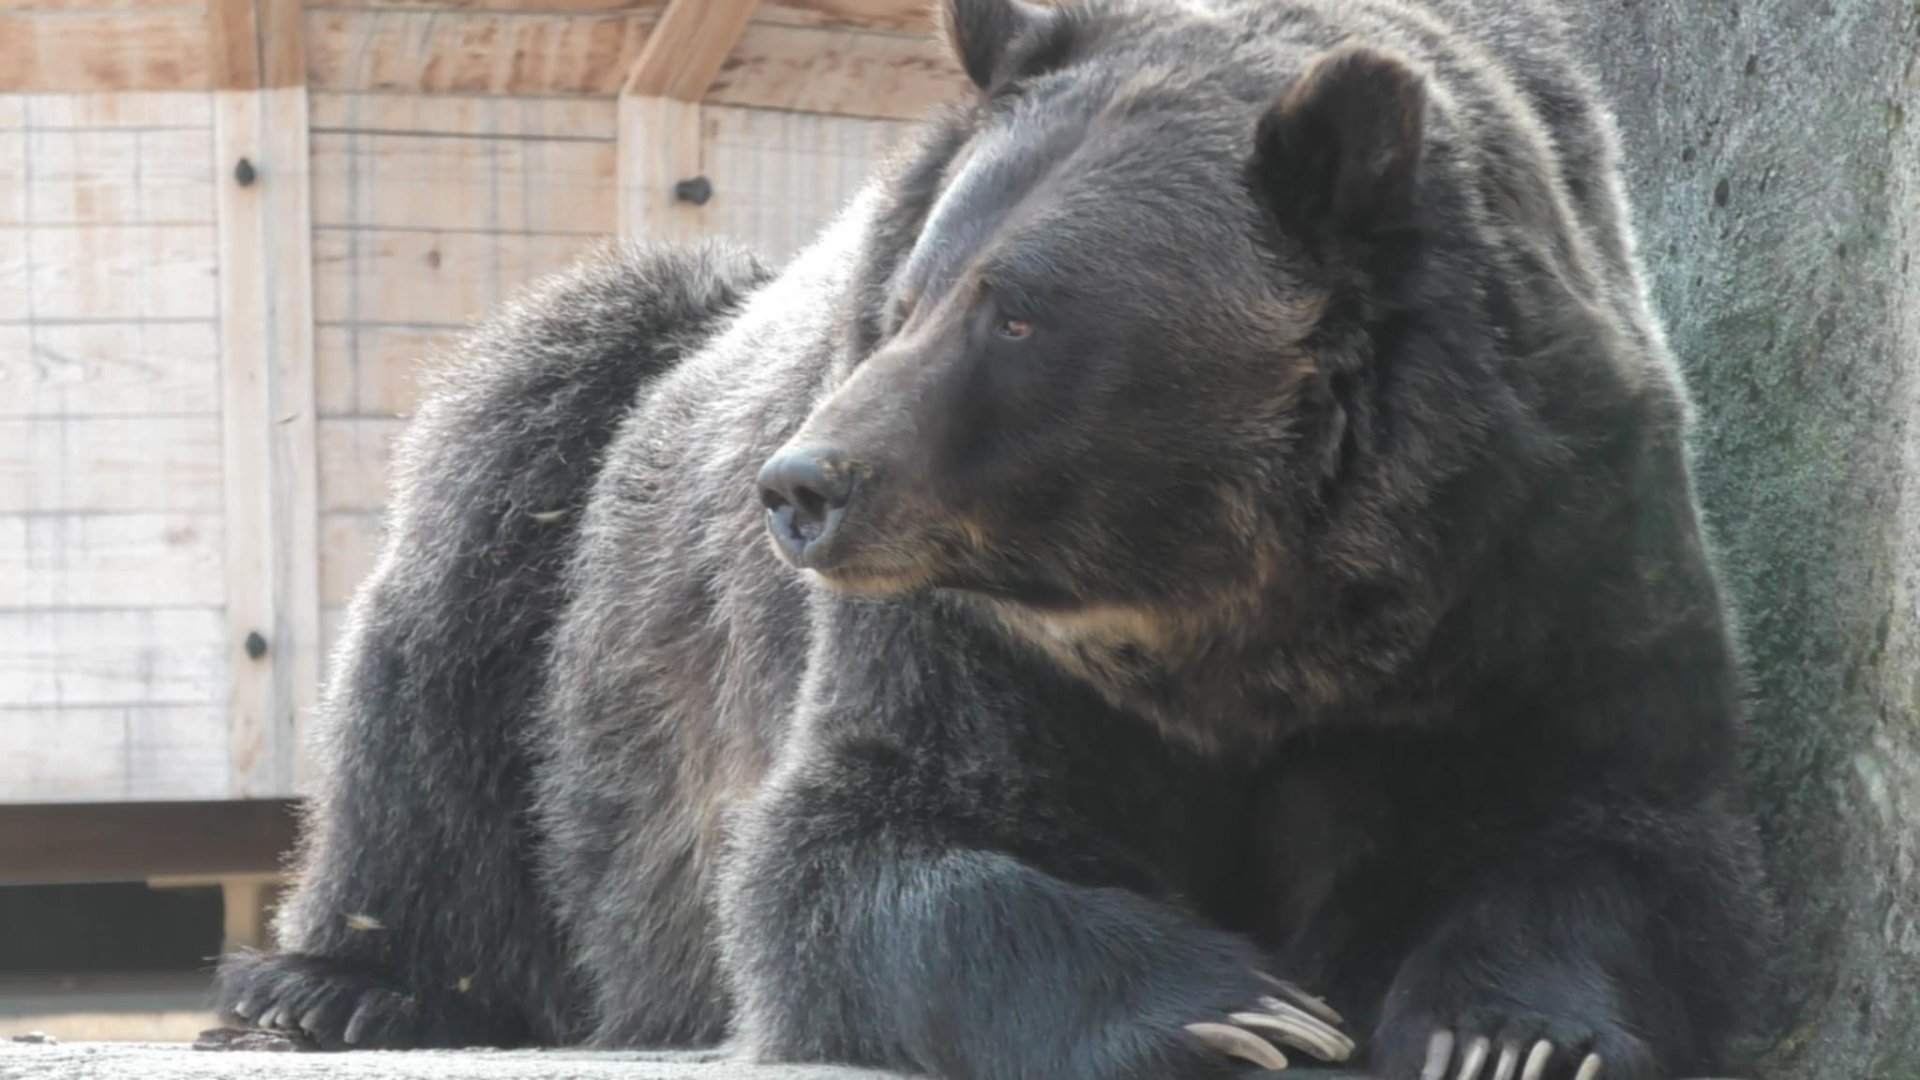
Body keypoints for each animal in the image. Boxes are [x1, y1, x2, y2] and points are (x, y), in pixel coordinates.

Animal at [215, 0, 1779, 1077]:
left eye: (1016, 310)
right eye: (910, 293)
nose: (804, 486)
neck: (1251, 603)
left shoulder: (1533, 571)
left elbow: (1612, 830)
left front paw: (1506, 1031)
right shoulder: (962, 642)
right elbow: (862, 845)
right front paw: (1237, 1010)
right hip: (596, 488)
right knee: (451, 615)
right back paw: (331, 983)